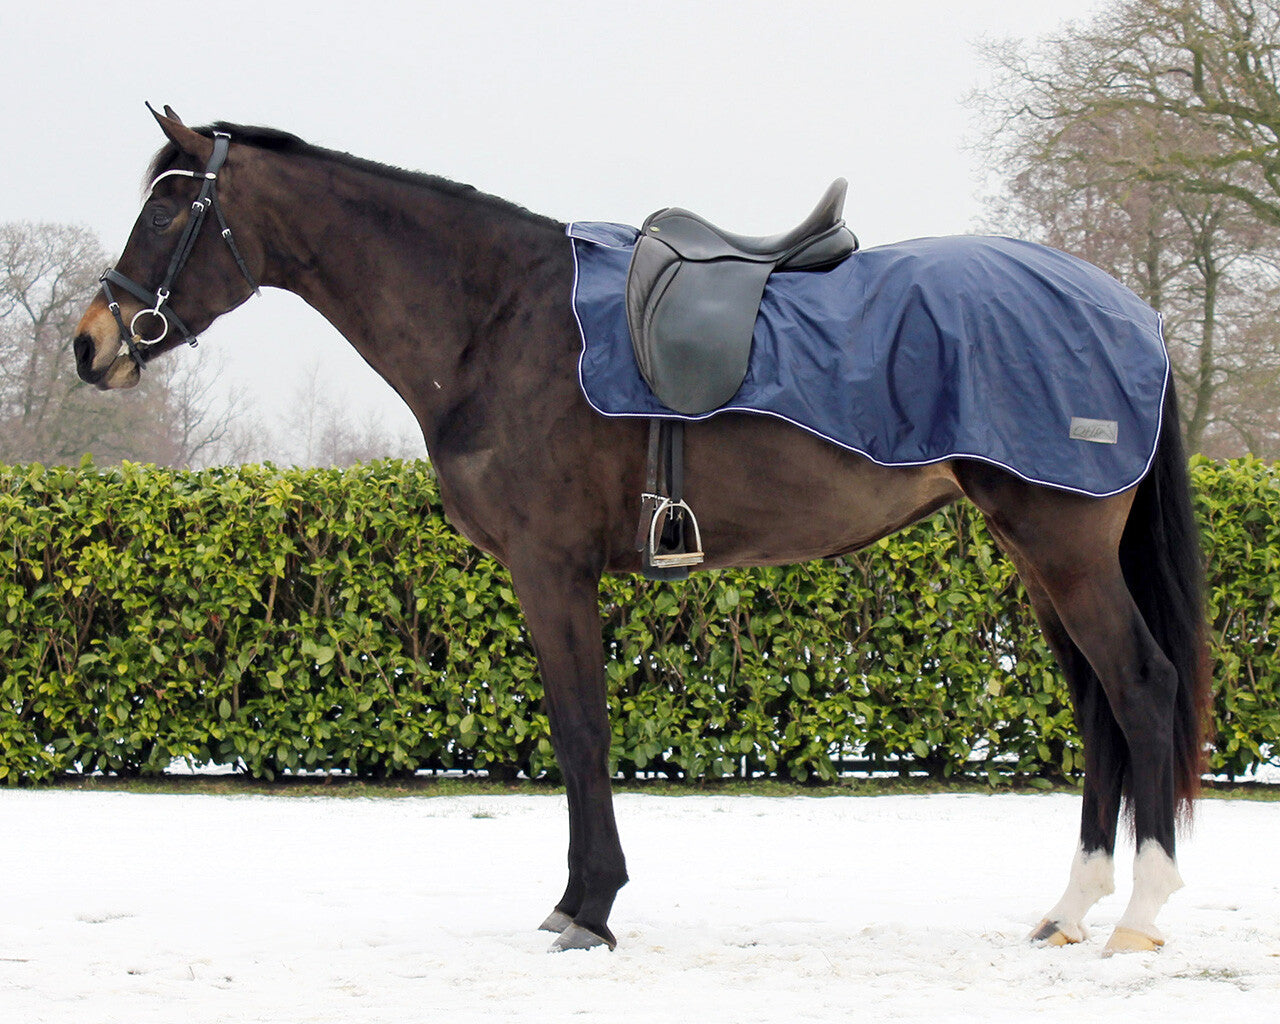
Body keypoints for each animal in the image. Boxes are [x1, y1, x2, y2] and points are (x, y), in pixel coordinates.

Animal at [73, 108, 1209, 955]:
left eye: (170, 204)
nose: (92, 344)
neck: (498, 321)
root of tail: (1131, 314)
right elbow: (579, 730)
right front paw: (582, 900)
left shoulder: (550, 569)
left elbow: (581, 730)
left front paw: (588, 908)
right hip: (1038, 558)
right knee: (1098, 706)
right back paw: (1071, 909)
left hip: (1061, 549)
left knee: (1140, 687)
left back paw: (1142, 913)